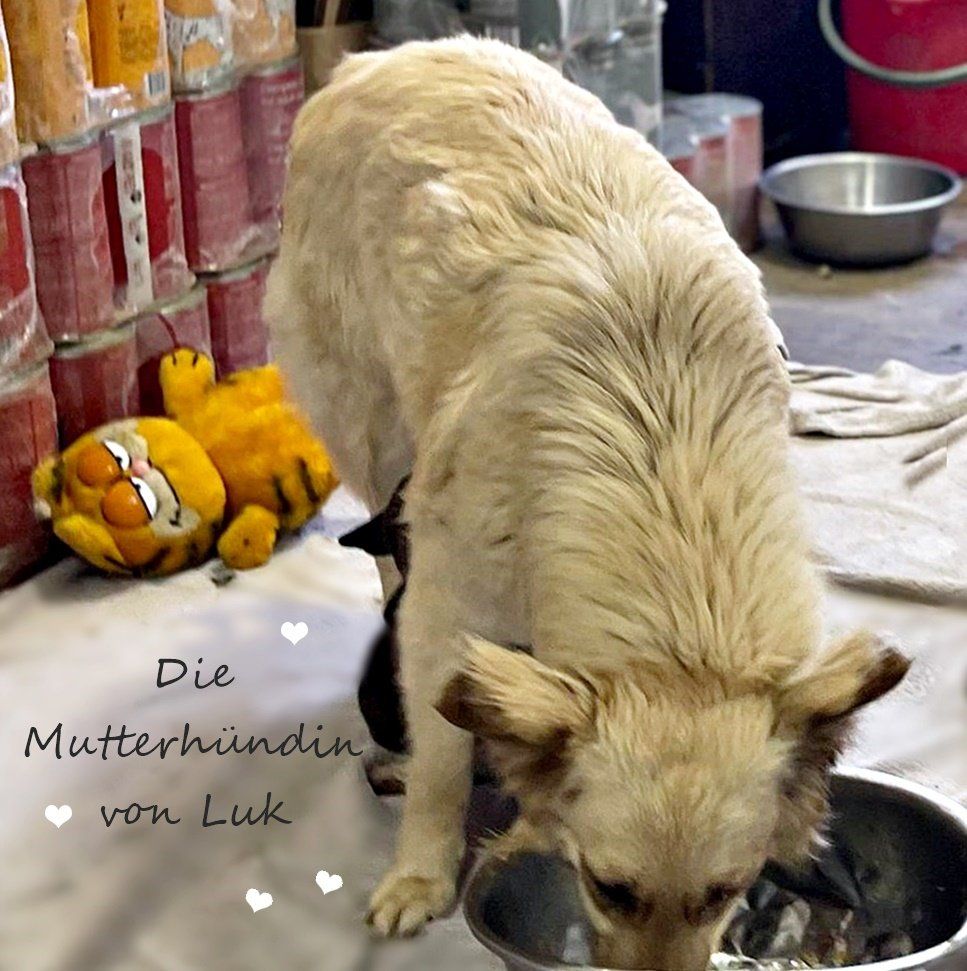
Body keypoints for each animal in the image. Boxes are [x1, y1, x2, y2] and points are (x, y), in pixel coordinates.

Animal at [265, 37, 909, 970]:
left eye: (724, 892)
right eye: (609, 889)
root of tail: (384, 57)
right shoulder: (443, 614)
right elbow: (441, 760)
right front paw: (420, 871)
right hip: (369, 427)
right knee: (383, 547)